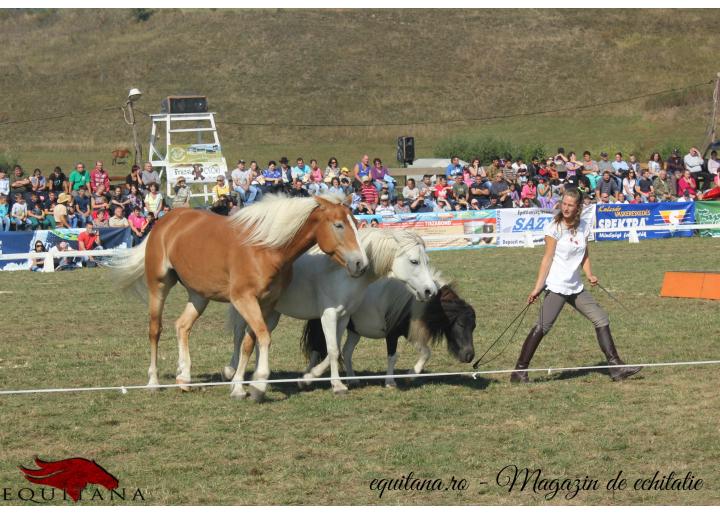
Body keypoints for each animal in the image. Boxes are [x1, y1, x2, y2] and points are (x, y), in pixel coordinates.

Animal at [116, 193, 372, 400]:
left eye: (355, 222)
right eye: (338, 225)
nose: (361, 264)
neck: (264, 248)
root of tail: (167, 220)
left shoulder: (265, 303)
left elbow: (249, 344)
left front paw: (239, 387)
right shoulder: (244, 300)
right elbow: (264, 338)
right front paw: (259, 385)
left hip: (199, 295)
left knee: (182, 326)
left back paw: (184, 377)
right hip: (159, 286)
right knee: (155, 330)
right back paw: (153, 382)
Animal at [222, 228, 436, 396]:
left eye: (427, 260)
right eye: (414, 261)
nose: (430, 291)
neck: (342, 273)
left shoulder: (344, 317)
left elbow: (336, 350)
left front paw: (309, 377)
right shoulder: (329, 316)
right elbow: (332, 350)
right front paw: (337, 385)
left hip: (272, 313)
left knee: (259, 340)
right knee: (239, 337)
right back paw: (232, 375)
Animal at [300, 272, 476, 384]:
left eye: (473, 327)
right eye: (461, 324)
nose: (470, 356)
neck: (412, 303)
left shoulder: (409, 333)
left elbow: (426, 352)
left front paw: (412, 374)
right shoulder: (392, 335)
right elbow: (393, 357)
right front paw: (391, 381)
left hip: (355, 331)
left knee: (346, 351)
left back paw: (352, 379)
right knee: (317, 350)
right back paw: (307, 377)